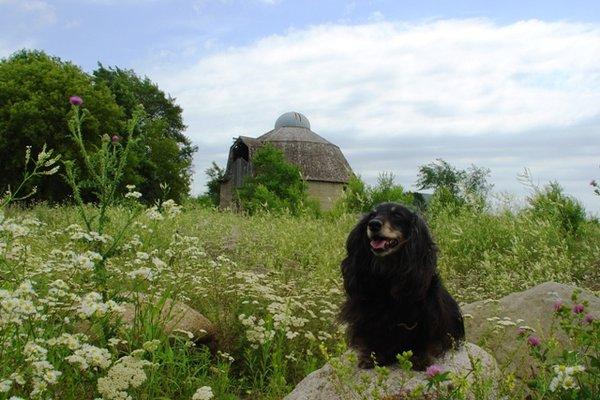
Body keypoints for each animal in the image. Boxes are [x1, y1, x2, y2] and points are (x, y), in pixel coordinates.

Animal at [338, 202, 464, 370]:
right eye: (372, 215)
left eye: (397, 215)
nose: (374, 224)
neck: (388, 274)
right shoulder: (366, 313)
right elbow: (372, 334)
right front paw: (372, 356)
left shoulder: (425, 315)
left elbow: (423, 338)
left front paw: (420, 358)